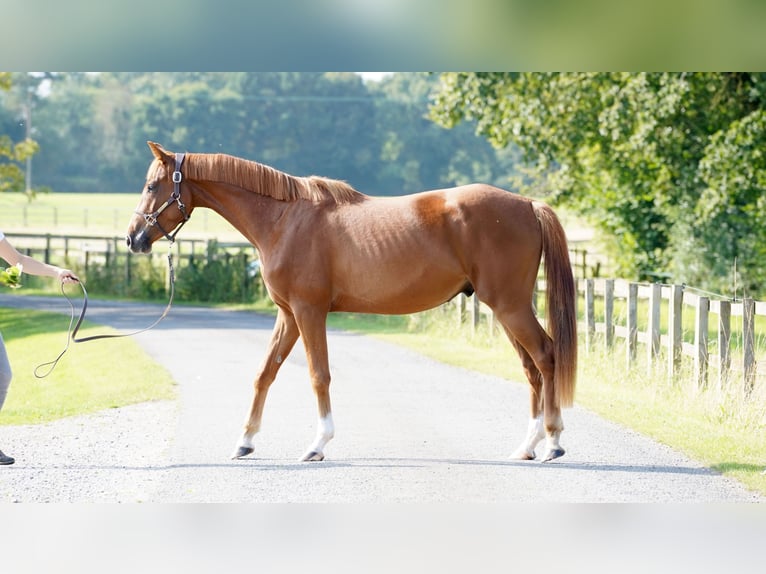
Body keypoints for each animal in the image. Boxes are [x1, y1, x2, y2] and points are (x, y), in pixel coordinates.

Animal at [129, 142, 580, 466]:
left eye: (152, 187)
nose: (134, 239)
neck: (284, 220)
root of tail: (527, 204)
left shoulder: (309, 312)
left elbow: (318, 375)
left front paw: (318, 444)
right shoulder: (287, 315)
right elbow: (264, 373)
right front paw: (245, 441)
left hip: (510, 307)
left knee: (546, 356)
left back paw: (554, 442)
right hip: (506, 310)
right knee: (531, 369)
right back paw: (527, 446)